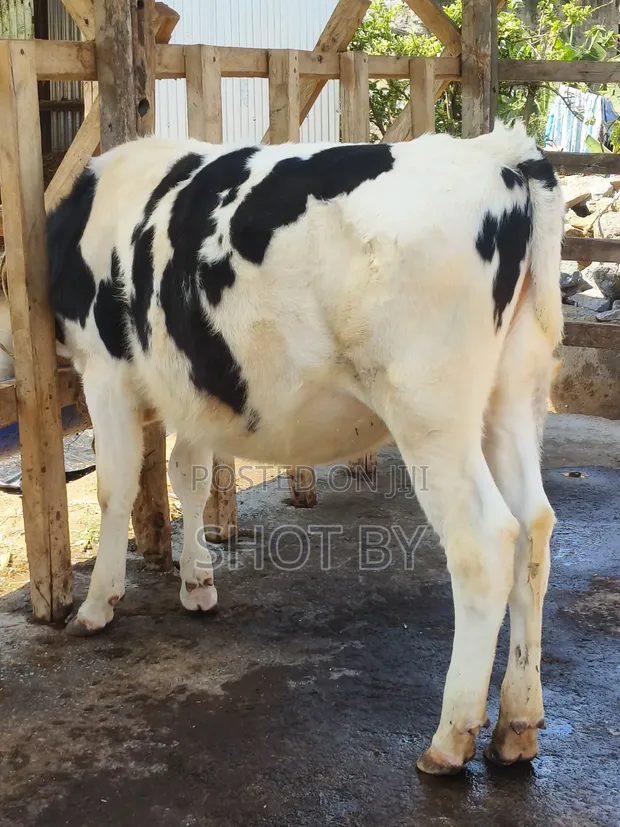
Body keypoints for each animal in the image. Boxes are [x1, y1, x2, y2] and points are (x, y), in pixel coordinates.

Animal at [47, 120, 565, 775]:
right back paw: (517, 724)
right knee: (534, 528)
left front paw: (97, 605)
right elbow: (188, 474)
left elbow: (114, 486)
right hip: (513, 395)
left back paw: (450, 740)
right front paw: (198, 584)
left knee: (486, 542)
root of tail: (503, 154)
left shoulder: (105, 366)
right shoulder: (190, 387)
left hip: (432, 412)